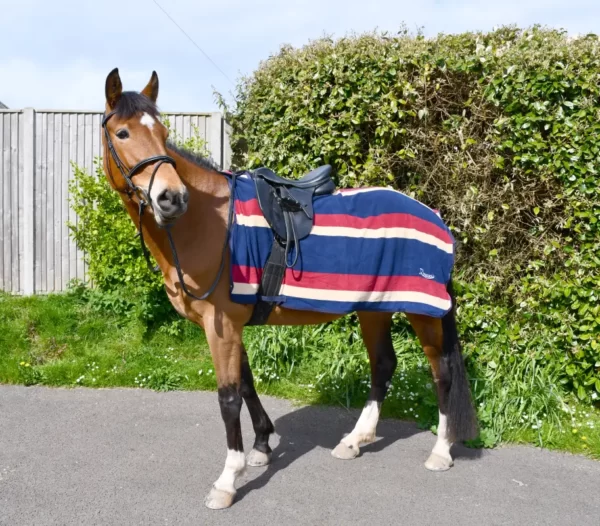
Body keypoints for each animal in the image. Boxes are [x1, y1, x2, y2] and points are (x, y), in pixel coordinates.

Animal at [101, 68, 478, 510]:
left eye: (162, 132)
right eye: (123, 133)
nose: (171, 198)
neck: (208, 224)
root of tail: (434, 216)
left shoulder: (221, 324)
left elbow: (228, 397)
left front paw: (228, 479)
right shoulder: (232, 324)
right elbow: (247, 383)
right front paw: (262, 446)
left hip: (422, 311)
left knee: (442, 371)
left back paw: (441, 451)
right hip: (375, 308)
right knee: (384, 365)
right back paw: (355, 440)